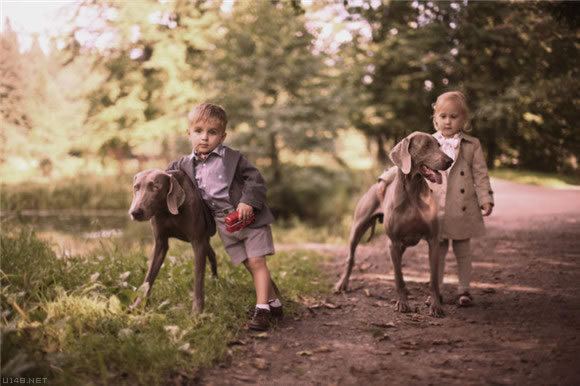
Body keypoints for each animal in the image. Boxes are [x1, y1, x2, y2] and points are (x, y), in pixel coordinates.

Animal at [128, 169, 216, 314]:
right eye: (136, 187)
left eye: (156, 187)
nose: (135, 212)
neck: (167, 210)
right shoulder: (160, 242)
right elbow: (148, 277)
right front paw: (138, 305)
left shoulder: (198, 241)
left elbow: (198, 278)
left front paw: (197, 311)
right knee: (212, 253)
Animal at [336, 131, 454, 318]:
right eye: (426, 146)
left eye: (439, 145)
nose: (450, 161)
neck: (413, 191)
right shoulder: (393, 242)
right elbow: (398, 277)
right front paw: (402, 303)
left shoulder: (433, 240)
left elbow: (434, 278)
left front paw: (436, 306)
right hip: (358, 228)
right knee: (351, 257)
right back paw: (342, 283)